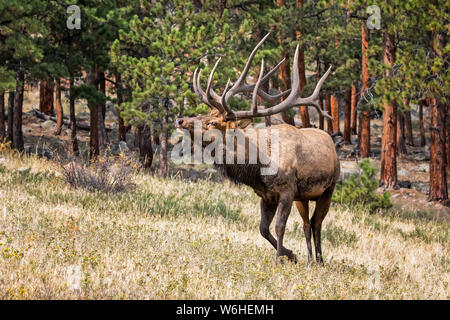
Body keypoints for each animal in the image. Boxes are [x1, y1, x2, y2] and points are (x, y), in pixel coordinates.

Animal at [174, 33, 340, 264]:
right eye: (204, 114)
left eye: (212, 123)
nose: (180, 120)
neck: (258, 167)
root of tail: (331, 142)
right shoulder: (266, 195)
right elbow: (263, 229)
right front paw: (291, 254)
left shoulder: (287, 190)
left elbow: (279, 227)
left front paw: (279, 260)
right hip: (304, 197)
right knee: (307, 223)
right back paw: (309, 260)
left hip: (328, 189)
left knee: (317, 223)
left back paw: (320, 261)